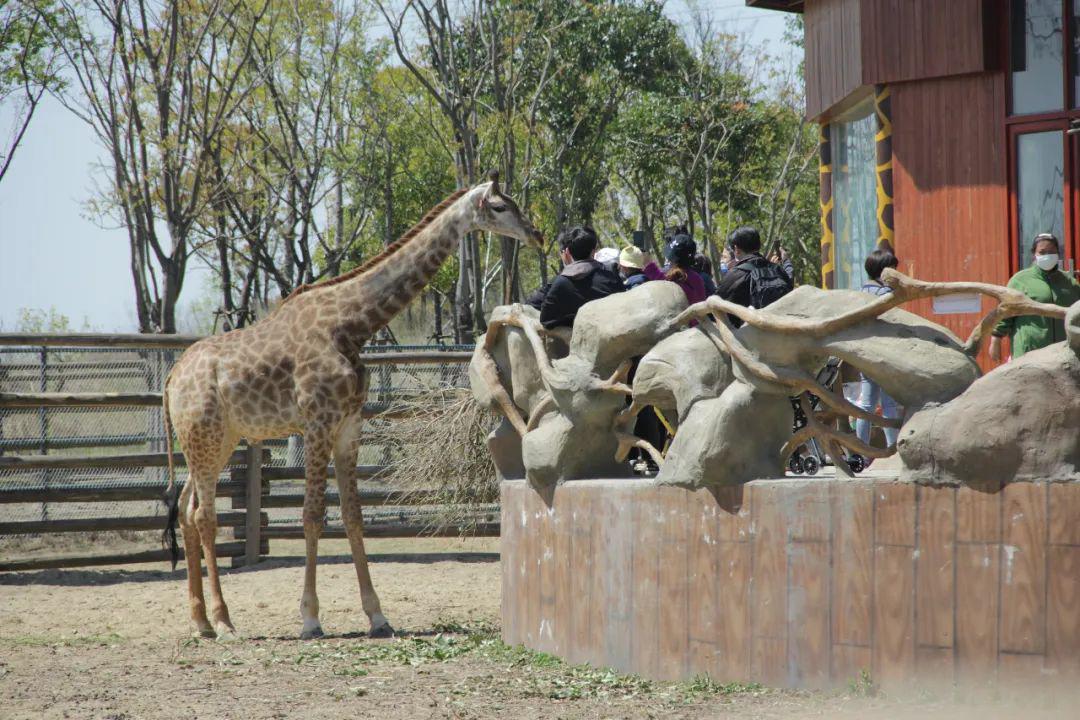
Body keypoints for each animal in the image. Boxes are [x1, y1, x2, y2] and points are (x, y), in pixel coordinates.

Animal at [160, 171, 544, 639]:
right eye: (502, 207)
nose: (537, 234)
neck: (352, 324)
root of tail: (172, 380)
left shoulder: (348, 425)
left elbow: (353, 514)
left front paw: (377, 615)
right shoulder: (317, 423)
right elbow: (311, 515)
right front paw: (310, 618)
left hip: (216, 442)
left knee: (186, 509)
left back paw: (201, 620)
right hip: (206, 438)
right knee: (204, 516)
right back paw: (222, 619)